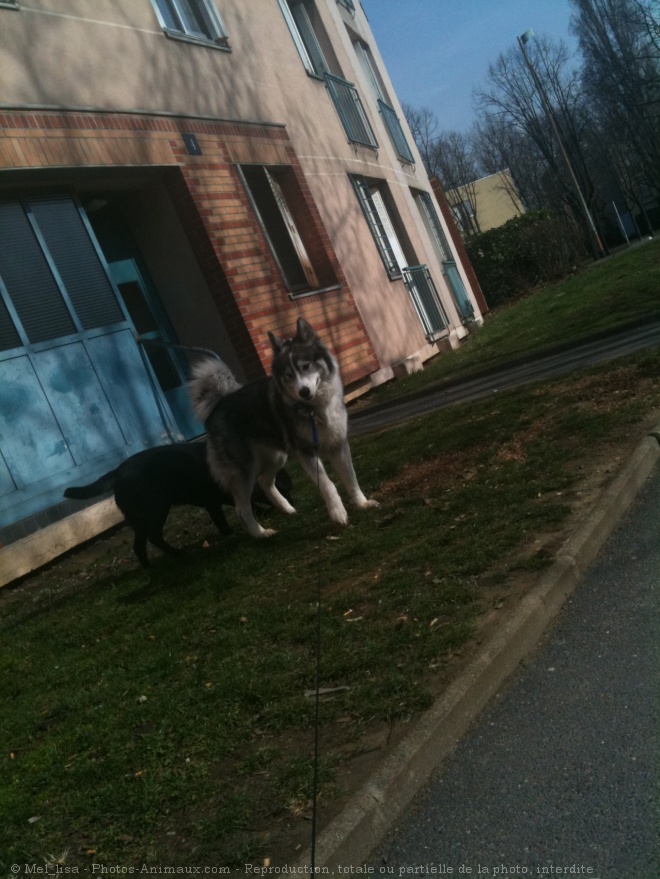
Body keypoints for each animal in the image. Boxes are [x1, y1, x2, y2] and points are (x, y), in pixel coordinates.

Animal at [62, 444, 294, 568]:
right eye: (286, 490)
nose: (294, 504)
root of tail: (118, 471)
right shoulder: (217, 500)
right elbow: (243, 508)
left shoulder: (213, 502)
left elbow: (231, 513)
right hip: (157, 510)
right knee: (154, 537)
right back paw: (177, 554)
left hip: (139, 520)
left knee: (139, 545)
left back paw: (149, 566)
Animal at [188, 316, 378, 536]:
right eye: (288, 375)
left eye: (306, 366)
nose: (304, 391)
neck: (314, 409)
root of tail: (218, 405)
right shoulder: (307, 452)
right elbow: (327, 485)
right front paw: (338, 514)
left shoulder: (338, 444)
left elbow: (350, 477)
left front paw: (362, 503)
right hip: (244, 470)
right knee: (242, 509)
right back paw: (261, 533)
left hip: (276, 456)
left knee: (264, 482)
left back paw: (287, 509)